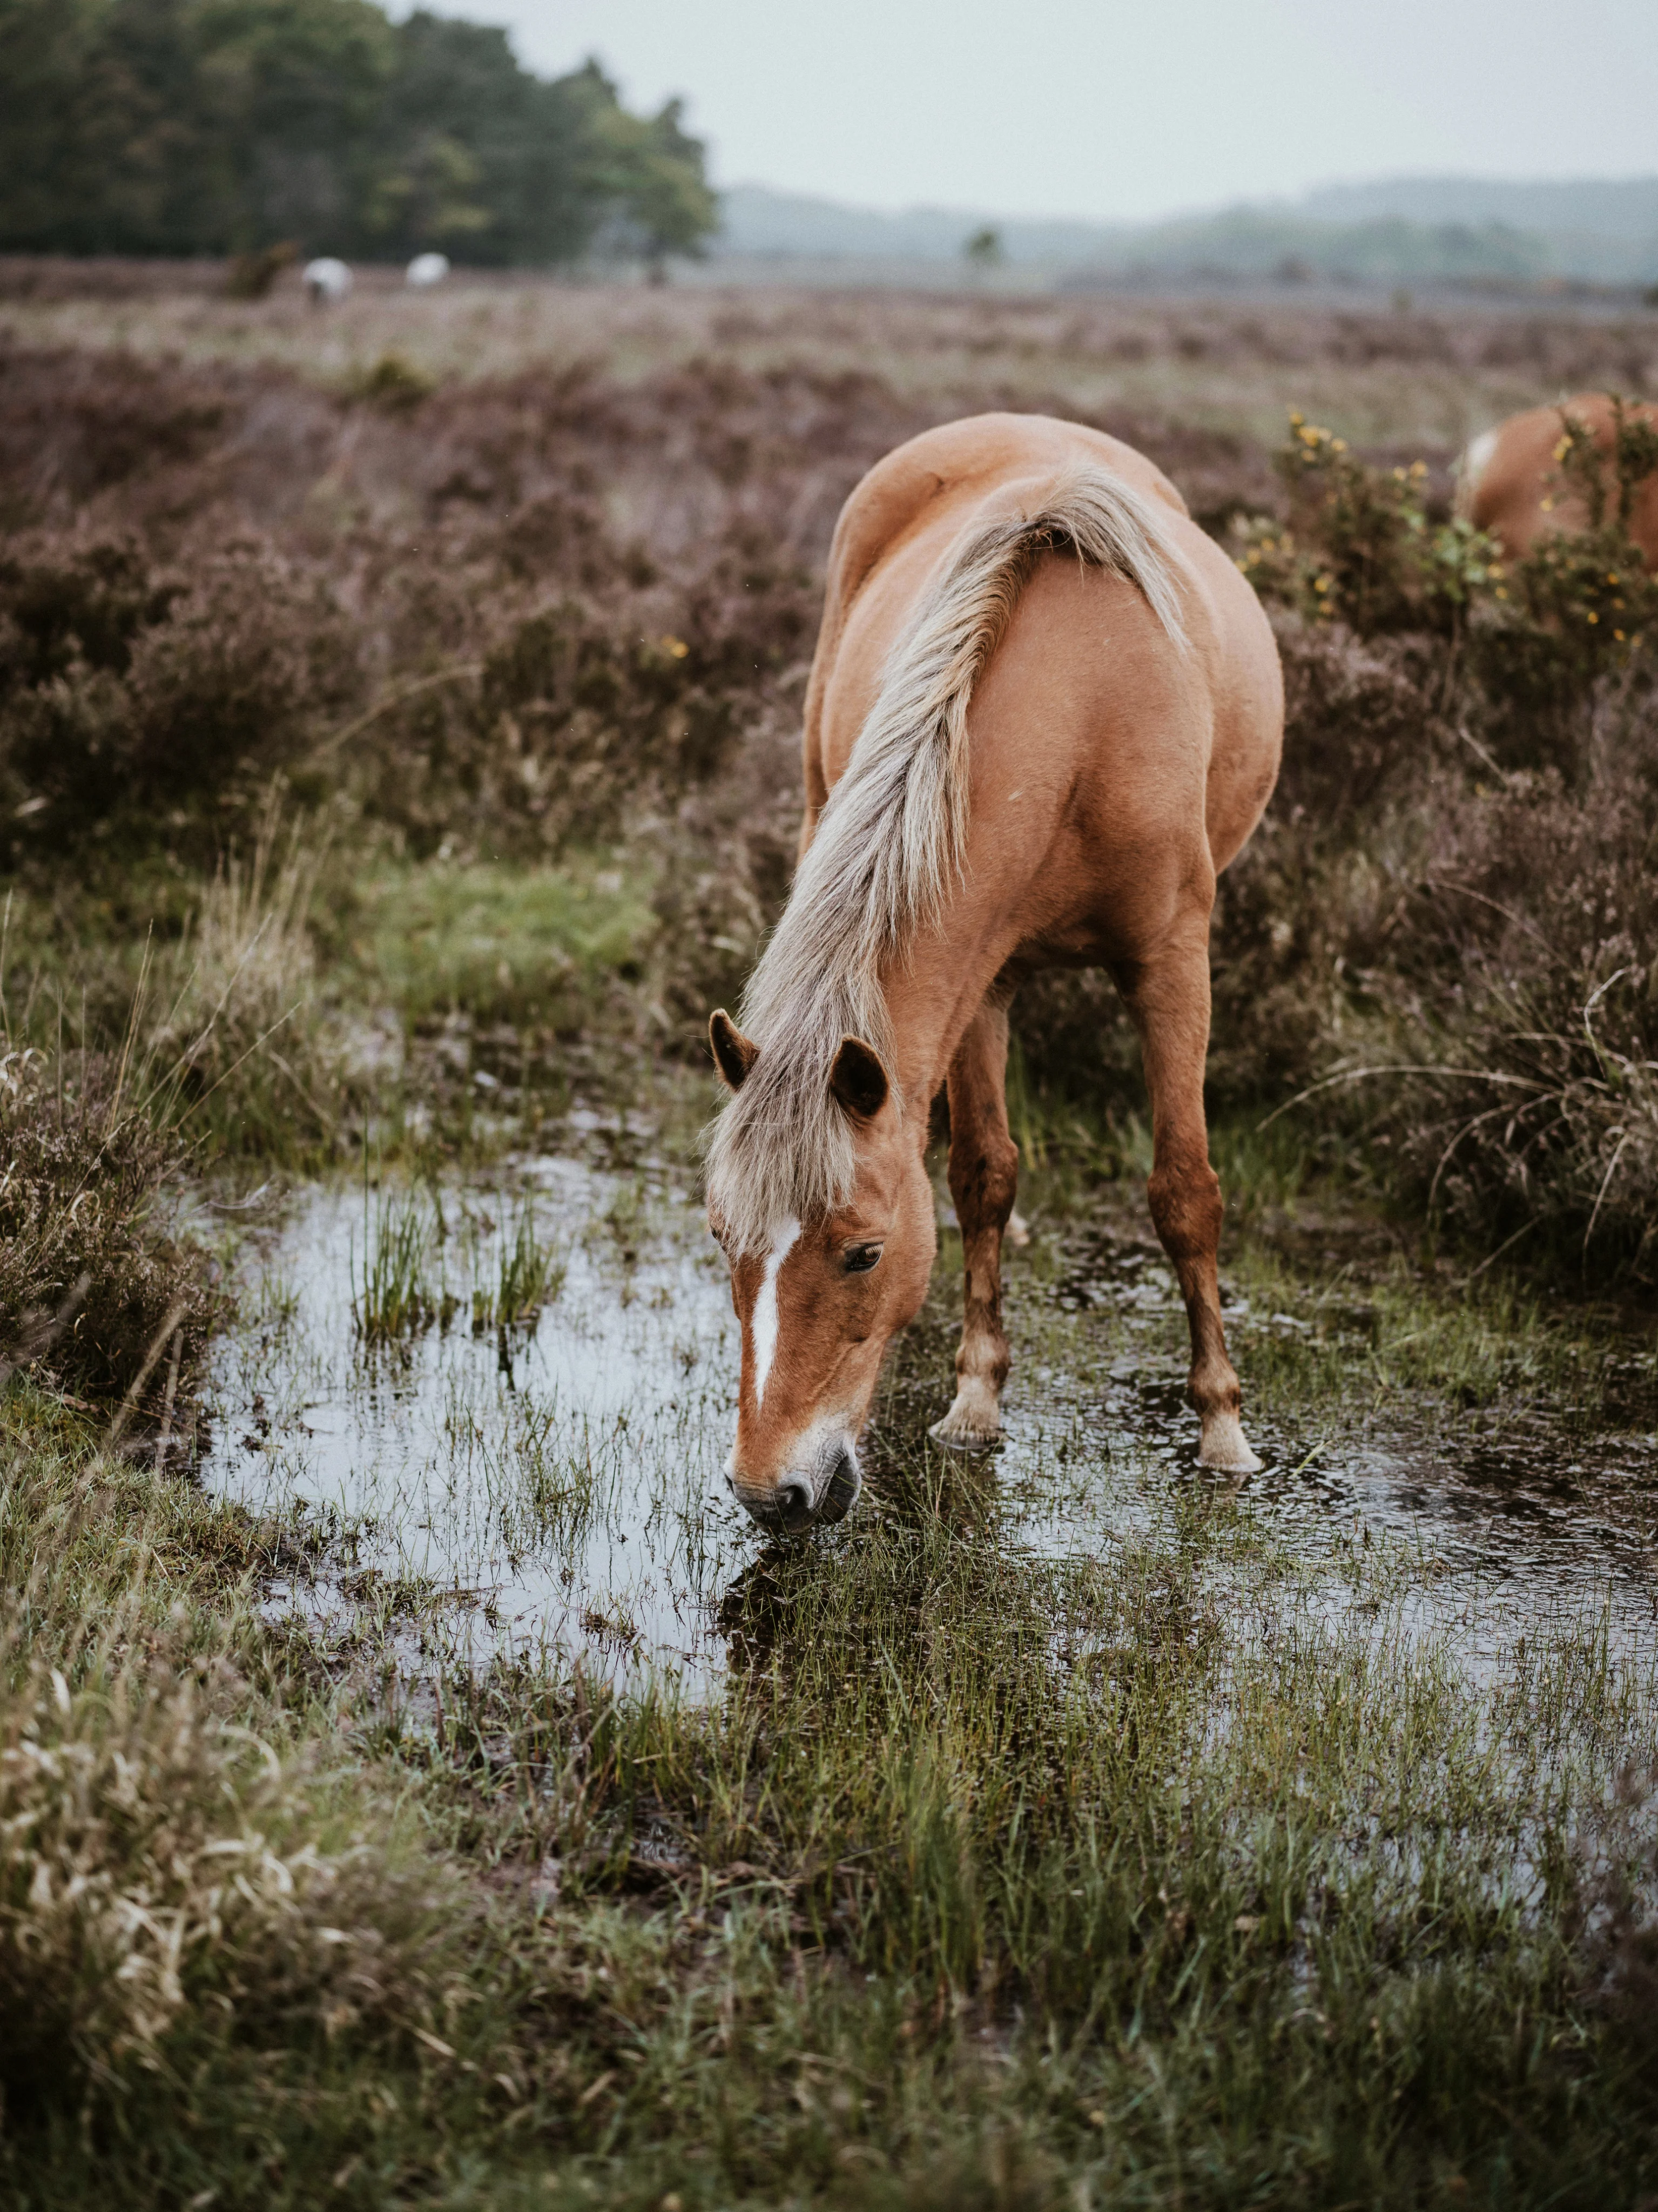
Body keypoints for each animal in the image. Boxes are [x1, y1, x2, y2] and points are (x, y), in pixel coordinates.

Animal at [705, 413, 1284, 1535]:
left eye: (863, 1252)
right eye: (723, 1239)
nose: (770, 1494)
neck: (1086, 718)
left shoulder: (1174, 965)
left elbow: (1184, 1191)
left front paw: (1223, 1429)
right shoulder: (985, 978)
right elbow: (982, 1176)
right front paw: (975, 1401)